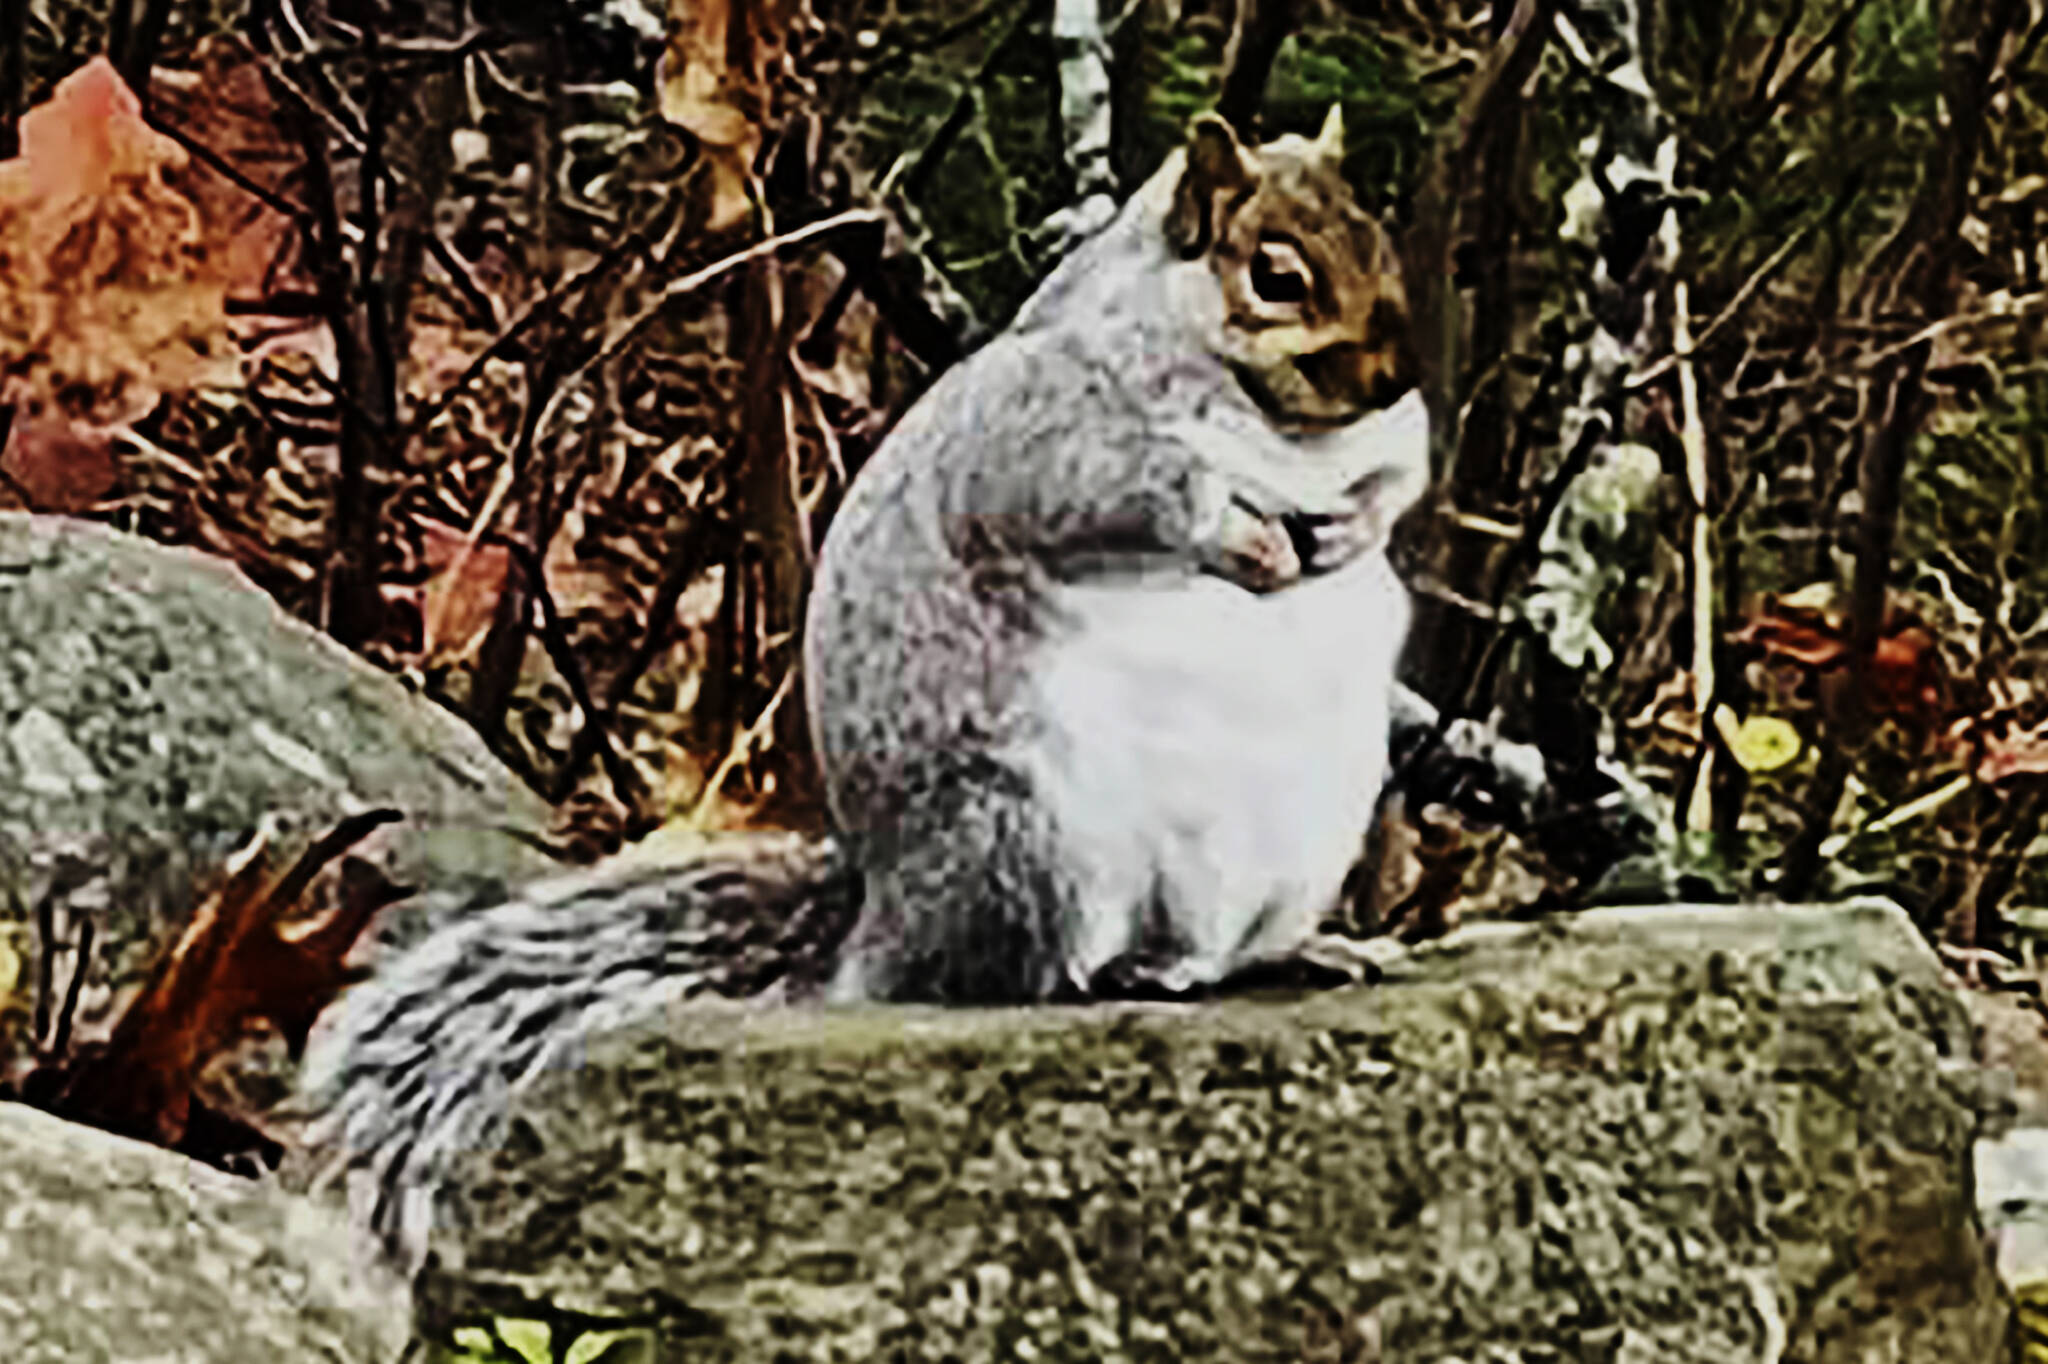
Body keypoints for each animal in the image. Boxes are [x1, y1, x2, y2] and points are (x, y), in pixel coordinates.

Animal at [299, 111, 1441, 1269]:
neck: (1282, 425)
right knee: (1003, 977)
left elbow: (1404, 475)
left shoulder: (1389, 443)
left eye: (1378, 238)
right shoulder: (1046, 431)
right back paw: (1132, 971)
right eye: (1276, 275)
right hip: (1028, 835)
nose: (1395, 372)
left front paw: (1355, 524)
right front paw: (1247, 532)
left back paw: (1305, 948)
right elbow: (1126, 492)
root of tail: (879, 921)